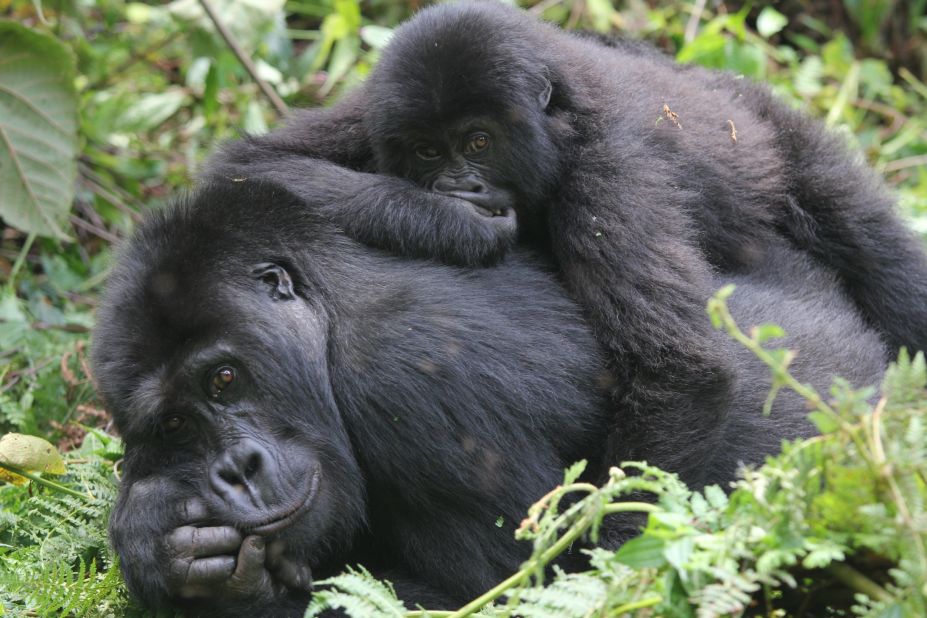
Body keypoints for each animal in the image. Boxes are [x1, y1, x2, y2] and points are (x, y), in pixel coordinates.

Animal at [92, 177, 884, 612]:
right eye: (174, 427)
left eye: (224, 379)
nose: (237, 471)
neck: (327, 314)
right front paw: (158, 539)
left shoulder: (411, 379)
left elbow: (518, 590)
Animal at [205, 2, 927, 488]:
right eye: (427, 151)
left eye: (478, 141)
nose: (460, 188)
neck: (557, 120)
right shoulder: (371, 110)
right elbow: (247, 166)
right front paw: (451, 222)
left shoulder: (610, 174)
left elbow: (679, 373)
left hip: (790, 142)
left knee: (878, 255)